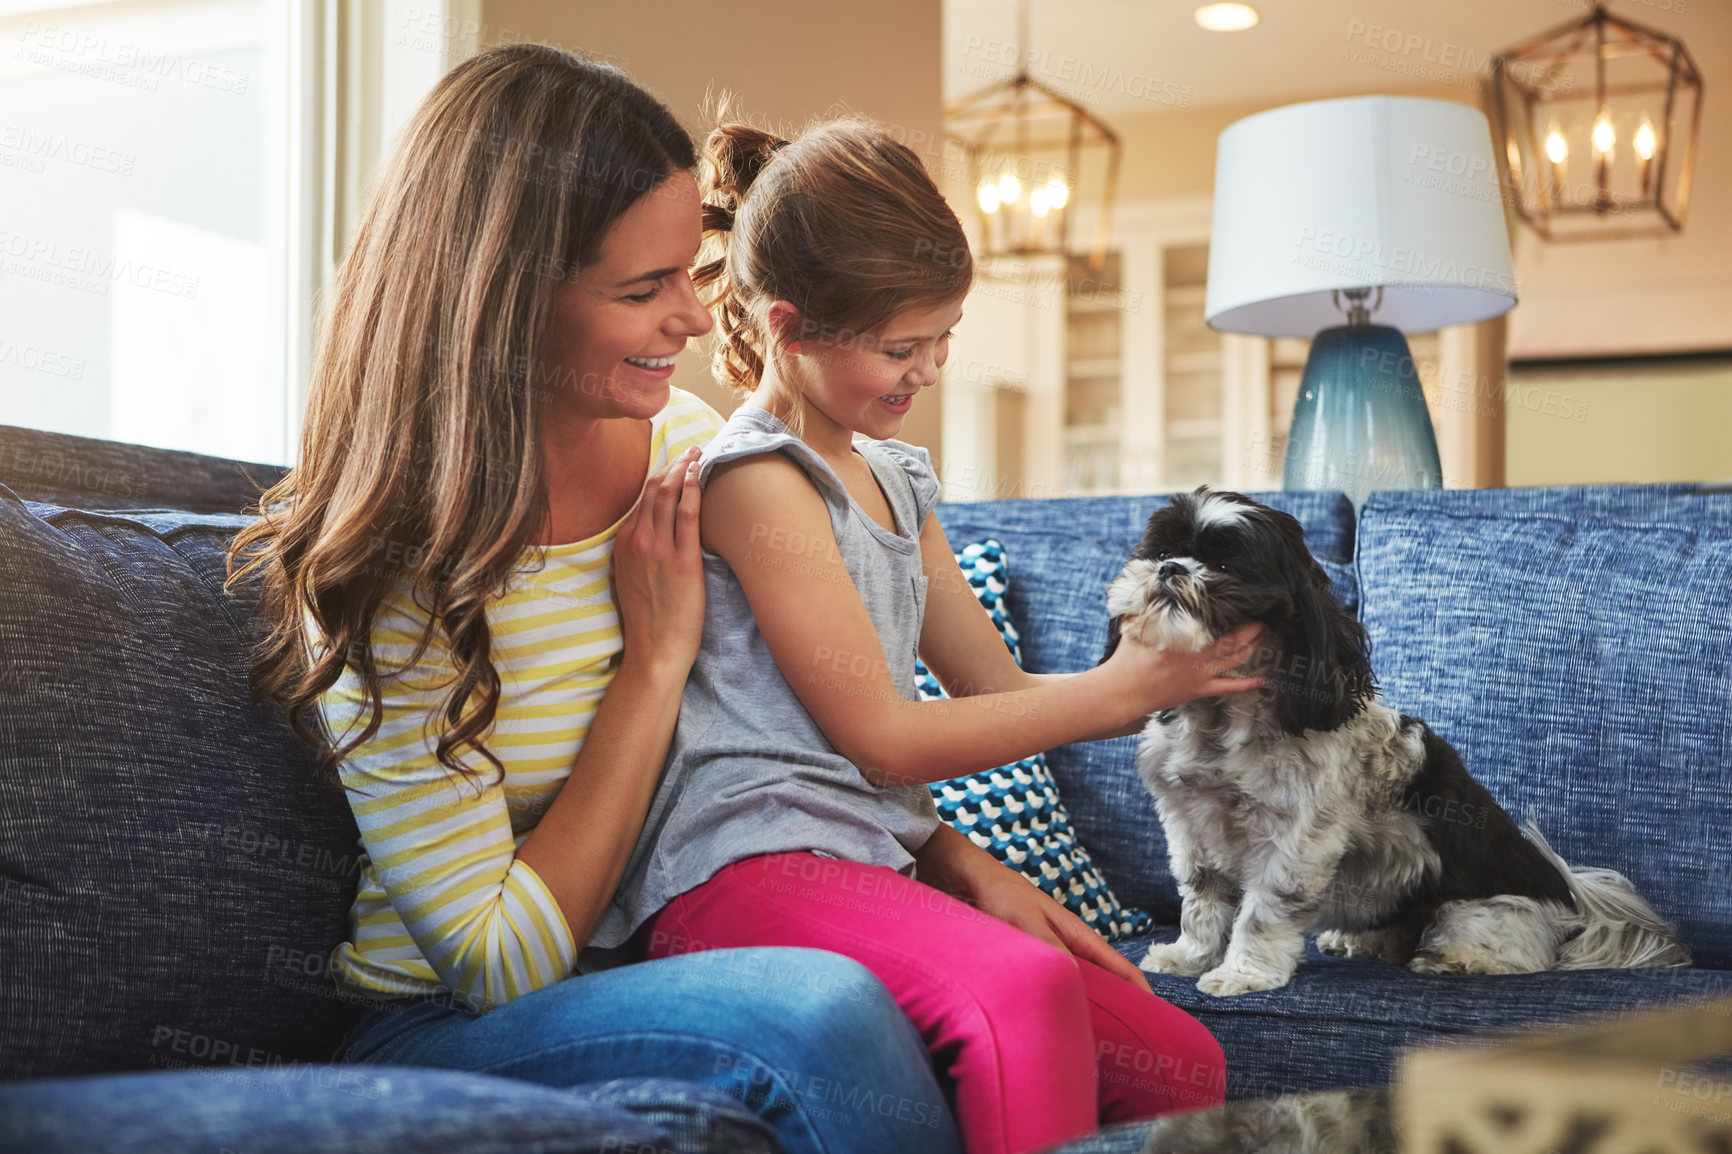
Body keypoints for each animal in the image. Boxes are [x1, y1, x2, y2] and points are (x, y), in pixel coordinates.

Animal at [1101, 481, 1683, 991]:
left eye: (1224, 566)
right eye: (1163, 551)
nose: (1170, 568)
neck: (1222, 723)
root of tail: (1573, 900)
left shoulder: (1297, 841)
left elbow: (1263, 911)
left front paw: (1242, 974)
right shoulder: (1191, 823)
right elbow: (1202, 899)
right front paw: (1189, 957)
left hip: (1481, 910)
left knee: (1512, 950)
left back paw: (1455, 958)